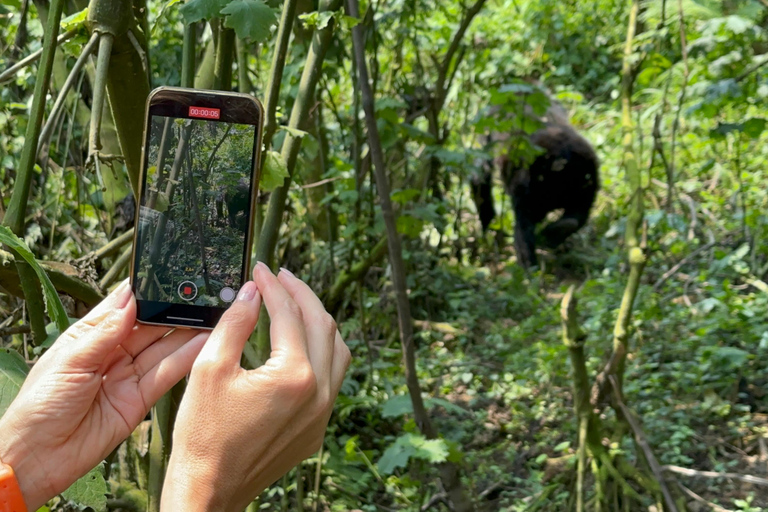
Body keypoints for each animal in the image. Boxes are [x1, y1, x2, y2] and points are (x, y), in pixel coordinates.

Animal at [468, 87, 600, 268]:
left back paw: (530, 266)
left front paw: (489, 228)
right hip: (588, 172)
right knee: (579, 213)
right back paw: (556, 233)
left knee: (524, 225)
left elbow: (479, 177)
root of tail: (560, 158)